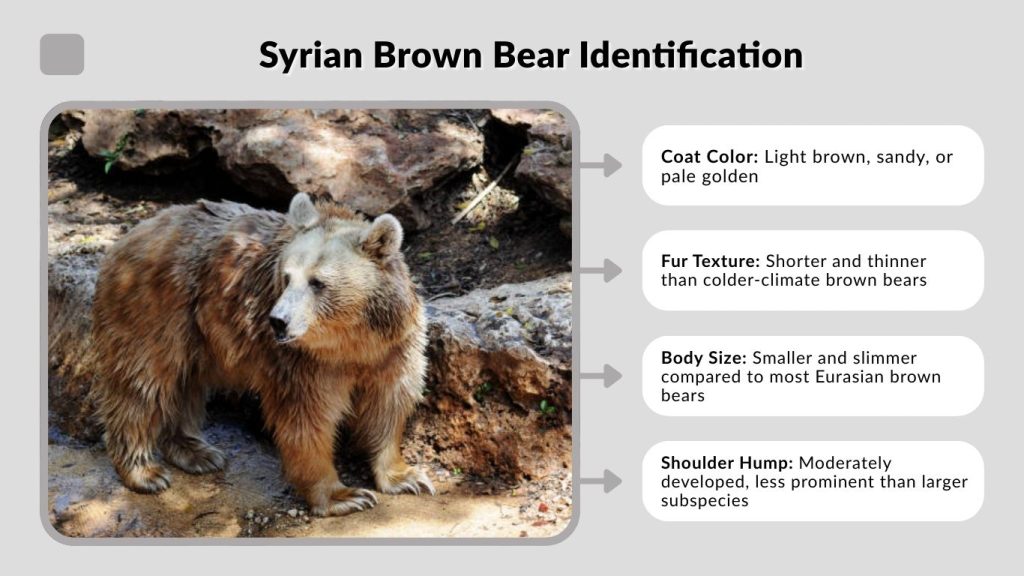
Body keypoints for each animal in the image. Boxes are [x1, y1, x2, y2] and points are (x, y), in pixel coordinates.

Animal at [90, 192, 434, 516]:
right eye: (287, 277)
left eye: (318, 282)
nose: (278, 320)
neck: (350, 342)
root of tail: (129, 235)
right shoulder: (303, 362)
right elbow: (306, 416)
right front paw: (345, 495)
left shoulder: (393, 348)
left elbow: (388, 404)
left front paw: (407, 477)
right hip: (155, 311)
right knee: (142, 385)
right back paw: (144, 471)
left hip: (194, 333)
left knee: (184, 383)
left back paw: (196, 452)